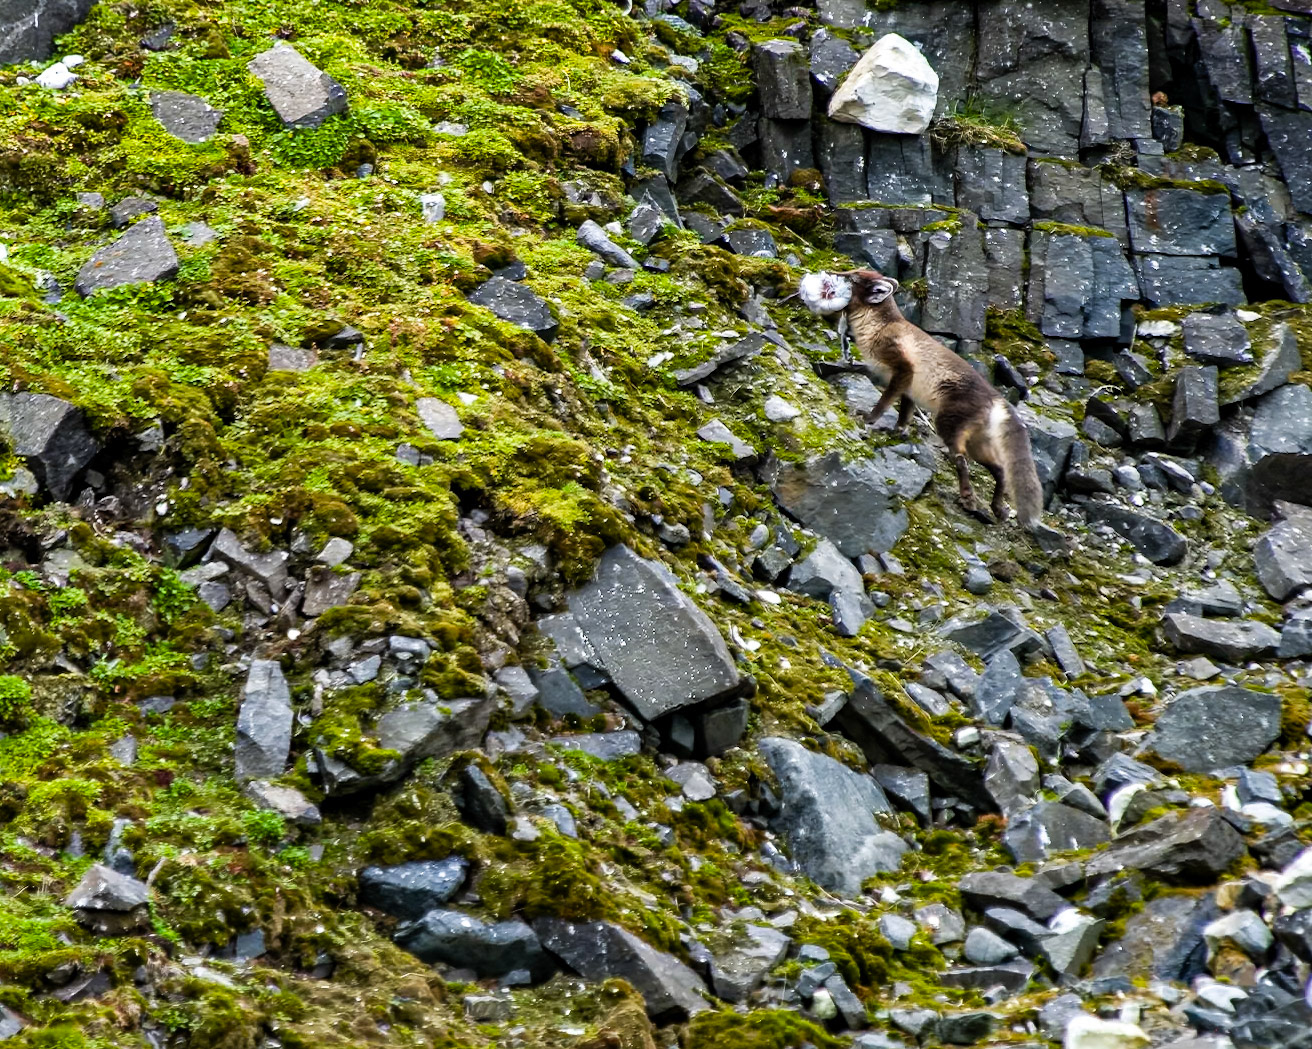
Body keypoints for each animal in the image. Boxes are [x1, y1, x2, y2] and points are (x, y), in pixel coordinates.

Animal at [799, 269, 1045, 529]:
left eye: (852, 278)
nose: (830, 272)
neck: (876, 325)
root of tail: (997, 399)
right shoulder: (908, 390)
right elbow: (904, 414)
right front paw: (897, 432)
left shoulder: (903, 369)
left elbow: (884, 402)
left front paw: (868, 418)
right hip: (978, 442)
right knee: (999, 469)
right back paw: (998, 508)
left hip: (948, 424)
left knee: (962, 460)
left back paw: (968, 498)